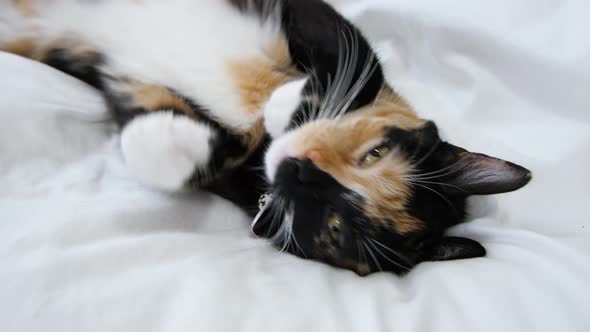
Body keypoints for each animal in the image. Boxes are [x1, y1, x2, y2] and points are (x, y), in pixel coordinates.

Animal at [0, 0, 536, 274]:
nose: (301, 169)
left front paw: (166, 139)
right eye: (374, 154)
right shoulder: (317, 19)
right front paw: (292, 100)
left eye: (333, 229)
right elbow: (357, 55)